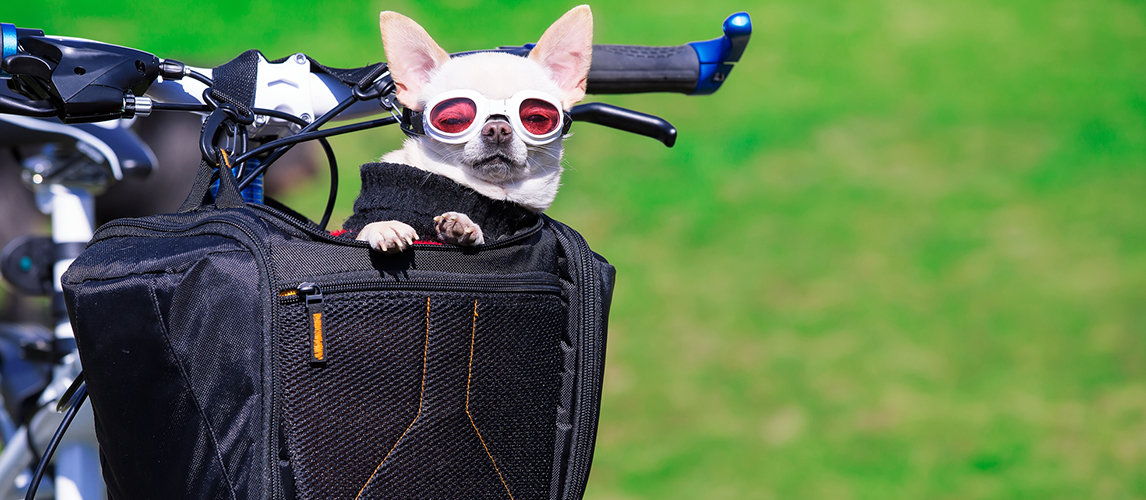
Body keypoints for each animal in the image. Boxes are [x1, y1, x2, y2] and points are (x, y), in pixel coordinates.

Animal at [355, 5, 591, 252]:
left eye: (536, 118)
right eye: (452, 120)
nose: (497, 129)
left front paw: (463, 226)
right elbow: (363, 230)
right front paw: (384, 227)